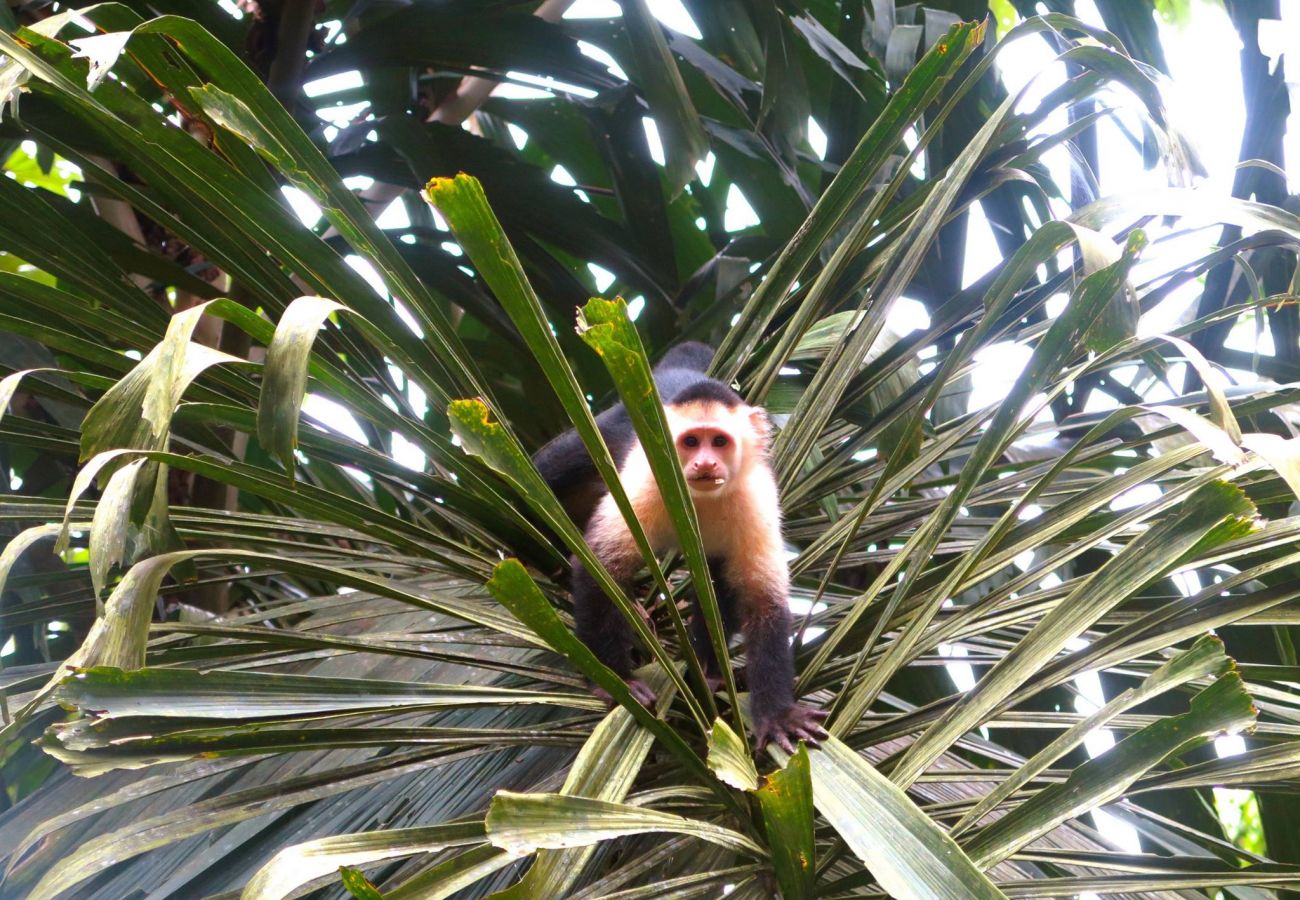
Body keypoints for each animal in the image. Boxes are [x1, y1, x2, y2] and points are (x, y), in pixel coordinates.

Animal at [533, 343, 826, 754]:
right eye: (690, 442)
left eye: (718, 441)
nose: (705, 463)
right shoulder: (646, 481)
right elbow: (602, 566)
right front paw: (614, 681)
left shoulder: (756, 497)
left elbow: (761, 601)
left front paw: (776, 714)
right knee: (554, 467)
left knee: (719, 579)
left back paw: (709, 670)